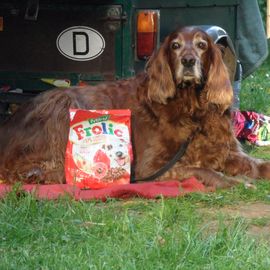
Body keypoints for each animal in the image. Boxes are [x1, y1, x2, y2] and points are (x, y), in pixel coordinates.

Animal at [0, 27, 270, 188]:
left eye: (202, 45)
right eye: (175, 46)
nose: (188, 61)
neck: (191, 109)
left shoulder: (226, 151)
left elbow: (257, 164)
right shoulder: (150, 167)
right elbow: (200, 170)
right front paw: (235, 182)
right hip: (61, 104)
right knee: (18, 169)